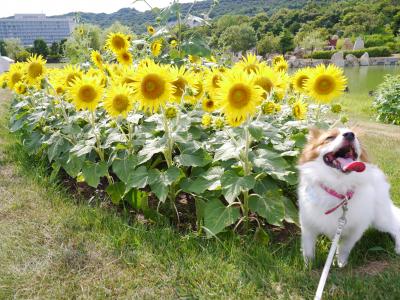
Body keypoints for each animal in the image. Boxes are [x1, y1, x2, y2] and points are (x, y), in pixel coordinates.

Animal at [296, 127, 400, 268]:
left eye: (357, 139)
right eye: (330, 138)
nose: (350, 135)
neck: (338, 185)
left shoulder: (355, 230)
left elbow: (344, 248)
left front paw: (341, 263)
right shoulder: (308, 227)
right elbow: (308, 250)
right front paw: (309, 266)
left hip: (381, 219)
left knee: (395, 226)